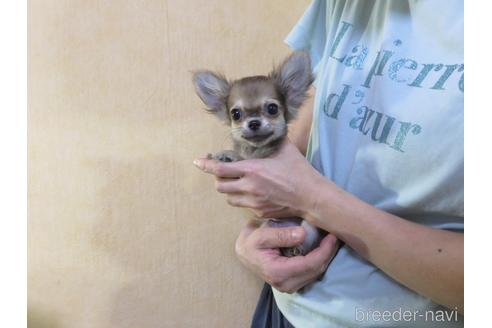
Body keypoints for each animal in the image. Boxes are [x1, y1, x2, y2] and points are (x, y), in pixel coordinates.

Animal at [194, 51, 324, 256]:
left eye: (272, 108)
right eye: (236, 114)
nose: (254, 122)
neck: (253, 149)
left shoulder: (262, 160)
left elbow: (243, 159)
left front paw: (230, 155)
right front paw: (225, 154)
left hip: (309, 227)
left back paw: (296, 248)